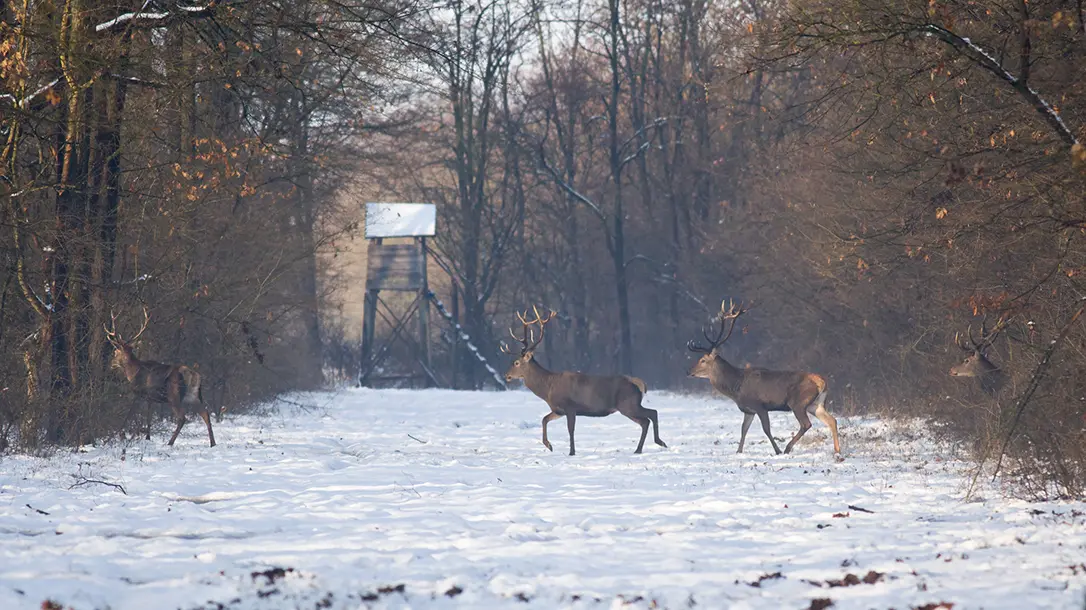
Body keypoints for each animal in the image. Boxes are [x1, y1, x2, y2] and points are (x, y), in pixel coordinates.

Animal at [104, 308, 216, 447]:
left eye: (115, 352)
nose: (111, 364)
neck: (133, 372)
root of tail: (192, 374)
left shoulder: (140, 393)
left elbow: (131, 415)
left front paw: (122, 435)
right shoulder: (151, 398)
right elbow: (148, 417)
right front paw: (147, 437)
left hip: (174, 396)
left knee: (182, 417)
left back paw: (170, 442)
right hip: (194, 395)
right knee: (205, 414)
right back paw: (213, 443)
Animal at [501, 306, 667, 456]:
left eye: (516, 362)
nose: (506, 375)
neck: (548, 388)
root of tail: (639, 384)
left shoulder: (570, 407)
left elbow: (570, 429)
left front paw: (571, 452)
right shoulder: (558, 410)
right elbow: (544, 419)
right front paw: (549, 445)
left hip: (627, 404)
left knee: (649, 416)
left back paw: (651, 445)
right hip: (630, 405)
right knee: (649, 417)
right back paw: (650, 446)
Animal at [687, 300, 841, 456]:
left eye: (702, 360)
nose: (689, 371)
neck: (736, 387)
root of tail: (822, 382)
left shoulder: (760, 405)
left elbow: (766, 429)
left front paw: (777, 450)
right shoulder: (749, 410)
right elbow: (743, 429)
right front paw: (739, 451)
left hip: (798, 402)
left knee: (806, 424)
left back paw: (787, 448)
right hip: (815, 404)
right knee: (832, 420)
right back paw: (837, 451)